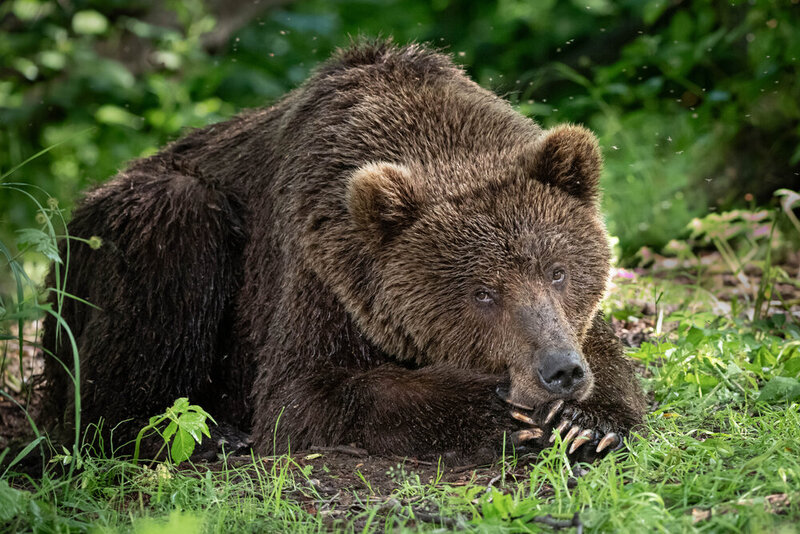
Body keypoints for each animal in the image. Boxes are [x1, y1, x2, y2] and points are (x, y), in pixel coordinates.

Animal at [42, 40, 646, 463]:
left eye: (558, 271)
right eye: (482, 293)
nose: (559, 371)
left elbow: (604, 352)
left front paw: (586, 423)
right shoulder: (318, 270)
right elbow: (307, 394)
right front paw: (503, 415)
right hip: (127, 238)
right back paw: (204, 437)